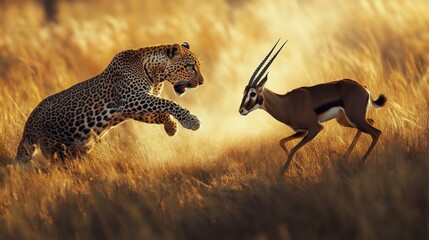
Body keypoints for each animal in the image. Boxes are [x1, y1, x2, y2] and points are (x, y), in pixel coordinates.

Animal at [239, 40, 386, 176]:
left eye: (253, 93)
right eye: (244, 92)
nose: (241, 110)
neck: (287, 103)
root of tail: (364, 88)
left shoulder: (316, 127)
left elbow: (292, 149)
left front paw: (282, 174)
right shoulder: (301, 131)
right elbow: (282, 142)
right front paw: (297, 167)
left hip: (354, 119)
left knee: (376, 133)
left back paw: (360, 162)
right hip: (346, 121)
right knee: (371, 122)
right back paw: (344, 159)